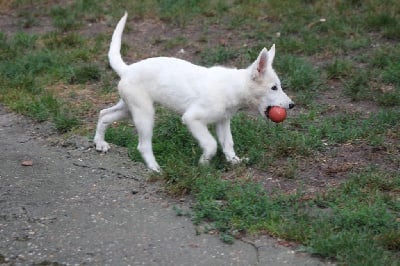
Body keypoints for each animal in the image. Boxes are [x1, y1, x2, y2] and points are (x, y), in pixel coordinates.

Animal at [94, 12, 294, 171]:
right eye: (274, 87)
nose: (292, 105)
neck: (234, 86)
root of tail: (127, 69)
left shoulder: (222, 121)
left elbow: (227, 143)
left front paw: (234, 161)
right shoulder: (192, 118)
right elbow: (211, 144)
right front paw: (203, 164)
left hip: (129, 108)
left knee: (104, 114)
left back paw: (100, 143)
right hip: (144, 113)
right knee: (143, 145)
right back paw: (155, 168)